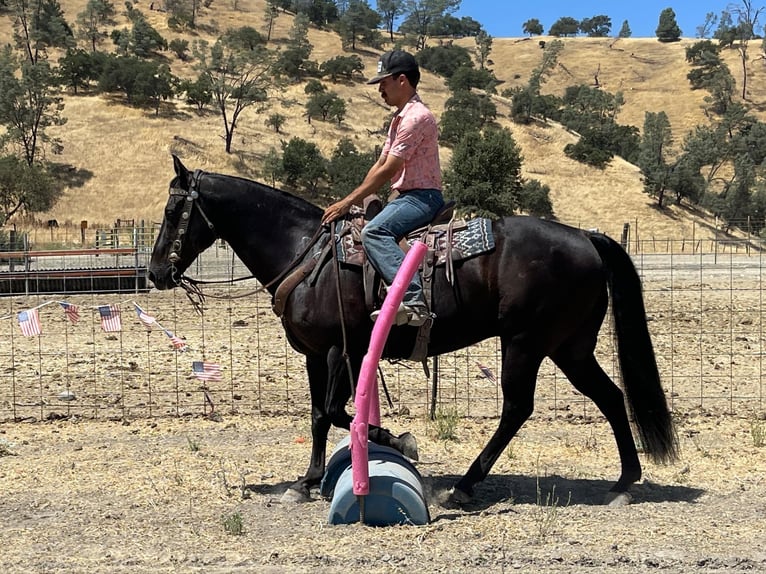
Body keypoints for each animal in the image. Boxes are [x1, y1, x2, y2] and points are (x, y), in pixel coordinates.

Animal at [148, 158, 680, 508]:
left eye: (174, 212)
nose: (155, 272)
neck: (305, 251)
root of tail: (585, 236)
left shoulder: (340, 350)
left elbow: (333, 413)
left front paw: (396, 443)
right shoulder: (315, 355)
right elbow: (320, 416)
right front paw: (311, 479)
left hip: (526, 343)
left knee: (517, 408)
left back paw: (464, 487)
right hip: (570, 348)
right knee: (611, 397)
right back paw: (624, 481)